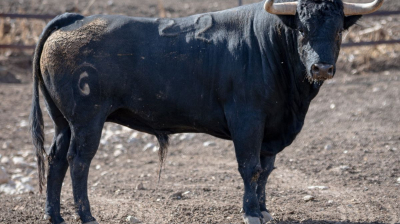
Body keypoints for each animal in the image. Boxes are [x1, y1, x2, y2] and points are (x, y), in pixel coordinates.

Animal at [30, 0, 366, 224]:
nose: (321, 68)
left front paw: (264, 209)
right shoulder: (247, 119)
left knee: (56, 159)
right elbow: (250, 167)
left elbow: (266, 170)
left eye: (339, 31)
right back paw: (87, 216)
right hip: (87, 119)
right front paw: (251, 212)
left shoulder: (271, 127)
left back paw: (55, 216)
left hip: (63, 122)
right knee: (78, 162)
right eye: (303, 31)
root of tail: (75, 20)